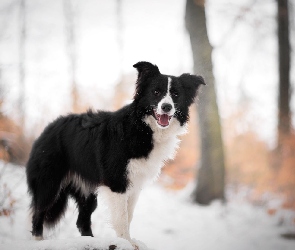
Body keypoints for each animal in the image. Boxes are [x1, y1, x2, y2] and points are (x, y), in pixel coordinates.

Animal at [26, 61, 205, 249]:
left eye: (176, 94)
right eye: (156, 92)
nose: (166, 107)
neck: (142, 128)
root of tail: (47, 129)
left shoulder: (134, 184)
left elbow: (129, 215)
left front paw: (128, 241)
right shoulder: (117, 182)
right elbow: (121, 217)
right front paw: (126, 243)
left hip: (87, 191)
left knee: (82, 220)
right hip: (49, 184)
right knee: (38, 213)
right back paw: (38, 241)